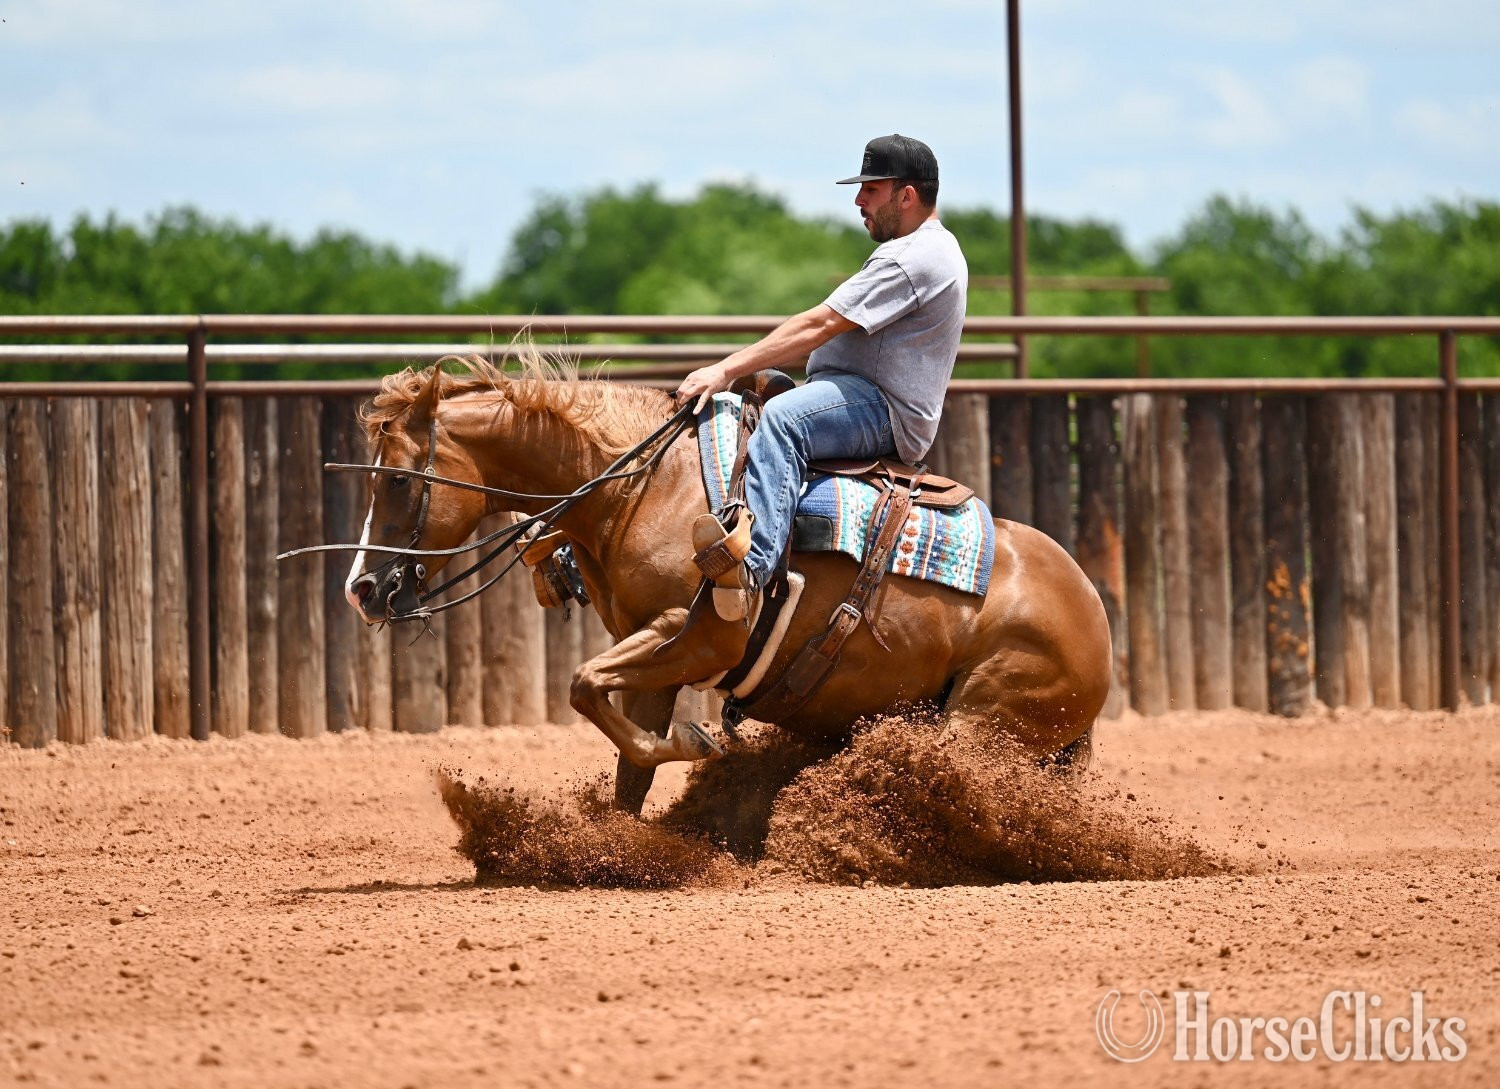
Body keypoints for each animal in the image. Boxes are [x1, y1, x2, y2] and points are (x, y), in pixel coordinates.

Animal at [340, 351, 1113, 815]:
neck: (641, 489)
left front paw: (700, 743)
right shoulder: (649, 656)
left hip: (981, 724)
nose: (362, 589)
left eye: (399, 480)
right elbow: (624, 750)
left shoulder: (695, 640)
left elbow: (585, 685)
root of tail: (1095, 620)